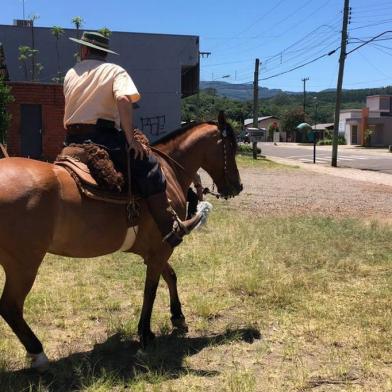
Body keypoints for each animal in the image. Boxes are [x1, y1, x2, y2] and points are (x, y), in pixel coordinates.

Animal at [0, 116, 242, 370]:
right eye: (231, 147)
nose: (238, 186)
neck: (170, 171)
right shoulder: (161, 249)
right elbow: (150, 290)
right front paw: (145, 334)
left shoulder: (155, 250)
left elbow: (170, 276)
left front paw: (178, 317)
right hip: (24, 265)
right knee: (10, 307)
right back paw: (38, 353)